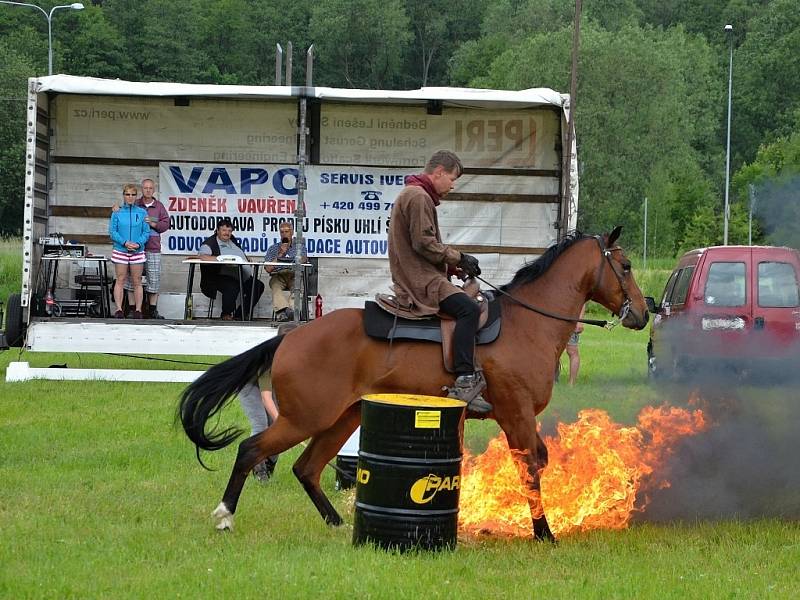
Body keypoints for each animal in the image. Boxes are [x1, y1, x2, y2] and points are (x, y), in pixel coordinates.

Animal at [178, 227, 648, 540]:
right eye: (625, 266)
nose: (643, 314)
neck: (528, 323)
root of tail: (292, 335)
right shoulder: (515, 416)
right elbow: (530, 470)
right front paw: (544, 532)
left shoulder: (520, 419)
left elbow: (540, 463)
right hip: (305, 417)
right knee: (251, 450)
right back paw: (225, 515)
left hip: (343, 417)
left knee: (306, 467)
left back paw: (337, 524)